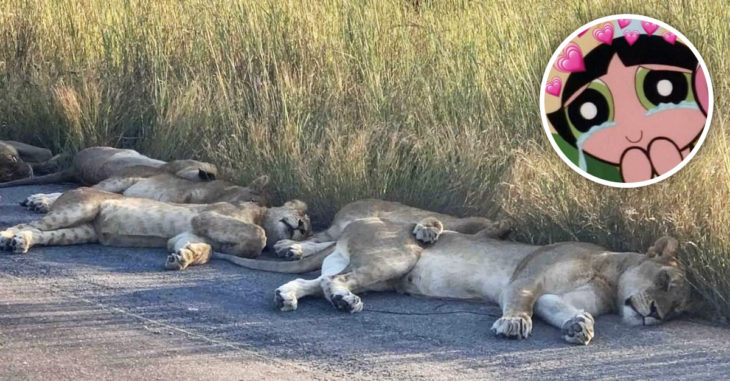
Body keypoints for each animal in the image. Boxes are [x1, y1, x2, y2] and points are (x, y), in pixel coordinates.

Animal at [0, 186, 310, 268]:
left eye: (308, 230)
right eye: (302, 216)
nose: (300, 227)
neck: (261, 213)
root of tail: (73, 188)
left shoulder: (185, 234)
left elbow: (204, 251)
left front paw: (181, 259)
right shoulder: (205, 216)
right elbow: (259, 235)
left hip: (80, 231)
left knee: (40, 233)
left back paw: (21, 243)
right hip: (79, 208)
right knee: (26, 223)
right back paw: (7, 237)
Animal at [216, 209, 688, 346]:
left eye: (677, 310)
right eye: (665, 281)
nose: (655, 315)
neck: (610, 274)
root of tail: (354, 226)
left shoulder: (555, 297)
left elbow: (564, 310)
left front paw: (580, 327)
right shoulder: (527, 278)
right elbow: (521, 303)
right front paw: (513, 324)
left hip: (372, 271)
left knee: (314, 282)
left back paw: (287, 296)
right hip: (398, 256)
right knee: (336, 284)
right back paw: (344, 302)